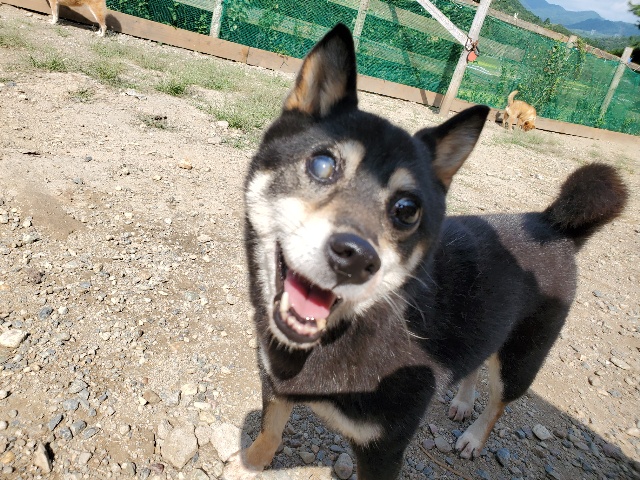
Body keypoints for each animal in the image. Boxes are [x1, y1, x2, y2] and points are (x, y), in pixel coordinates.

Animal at [226, 24, 628, 480]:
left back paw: (473, 436)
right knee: (475, 364)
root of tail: (552, 224)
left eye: (407, 210)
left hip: (521, 358)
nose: (356, 258)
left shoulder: (384, 444)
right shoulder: (274, 381)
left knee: (499, 402)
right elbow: (269, 431)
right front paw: (249, 462)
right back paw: (463, 401)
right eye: (323, 165)